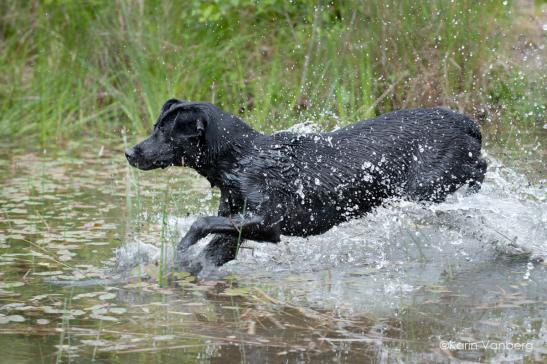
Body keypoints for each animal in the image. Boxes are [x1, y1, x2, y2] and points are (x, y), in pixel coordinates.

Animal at [125, 99, 488, 272]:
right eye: (155, 127)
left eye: (165, 133)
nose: (130, 153)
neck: (241, 159)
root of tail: (466, 122)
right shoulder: (238, 226)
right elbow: (213, 250)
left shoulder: (267, 221)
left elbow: (201, 223)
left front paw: (182, 244)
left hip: (426, 186)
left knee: (478, 171)